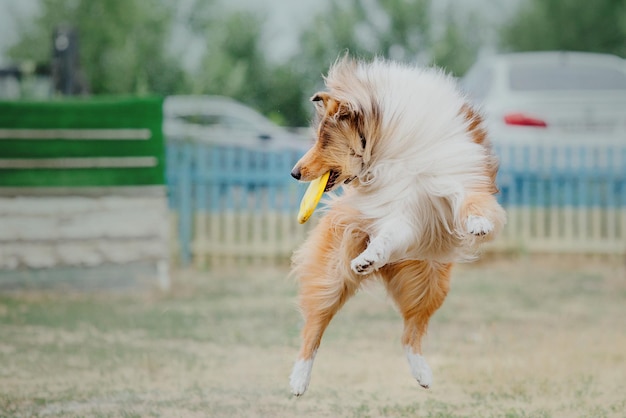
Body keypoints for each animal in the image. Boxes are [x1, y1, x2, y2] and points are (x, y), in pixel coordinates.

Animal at [290, 56, 504, 396]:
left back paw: (422, 374)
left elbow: (465, 198)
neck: (386, 147)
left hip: (430, 281)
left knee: (410, 331)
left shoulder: (448, 180)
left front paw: (478, 223)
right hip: (333, 274)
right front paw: (368, 257)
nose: (294, 173)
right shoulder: (400, 211)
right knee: (314, 327)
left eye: (323, 141)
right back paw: (298, 380)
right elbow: (387, 234)